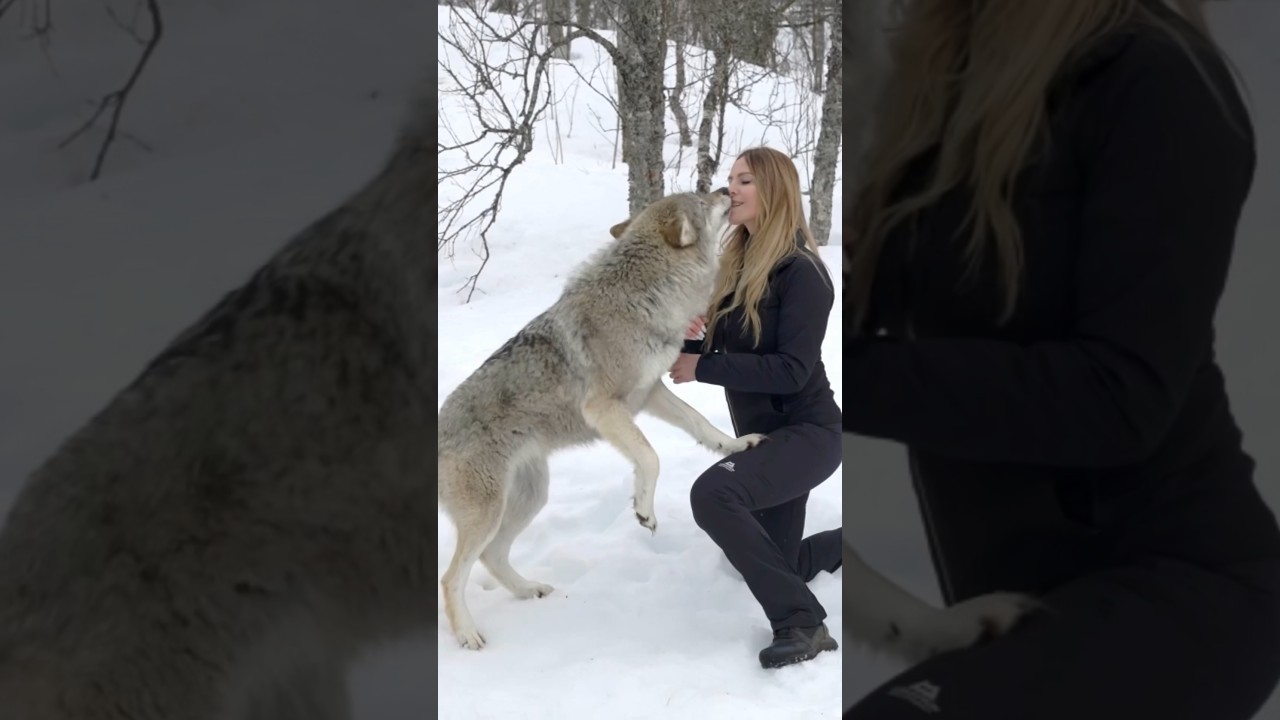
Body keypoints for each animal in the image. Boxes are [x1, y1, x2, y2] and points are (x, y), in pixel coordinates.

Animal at [437, 188, 769, 651]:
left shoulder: (651, 392)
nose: (725, 190)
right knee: (452, 577)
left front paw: (736, 444)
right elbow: (650, 458)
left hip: (530, 498)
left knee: (492, 555)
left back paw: (529, 590)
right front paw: (644, 510)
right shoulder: (605, 408)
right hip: (489, 512)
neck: (644, 295)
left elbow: (701, 423)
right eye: (701, 200)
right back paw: (468, 634)